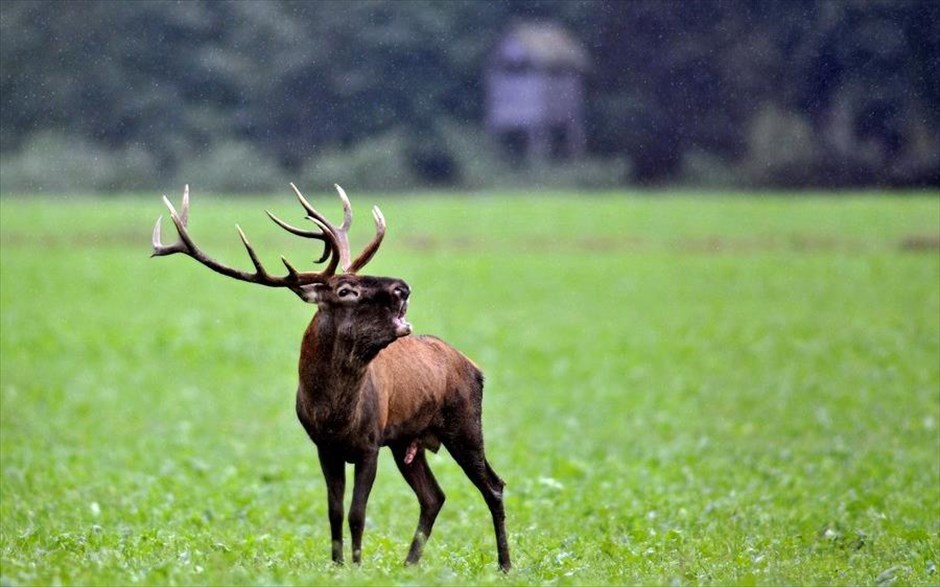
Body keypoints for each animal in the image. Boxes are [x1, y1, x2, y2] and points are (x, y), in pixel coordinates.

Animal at [151, 183, 510, 568]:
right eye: (346, 290)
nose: (403, 287)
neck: (335, 413)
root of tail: (475, 367)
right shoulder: (325, 447)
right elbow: (335, 512)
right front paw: (337, 565)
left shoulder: (370, 443)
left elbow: (357, 513)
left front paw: (357, 566)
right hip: (407, 441)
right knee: (434, 496)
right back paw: (409, 564)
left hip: (464, 422)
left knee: (493, 485)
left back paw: (504, 565)